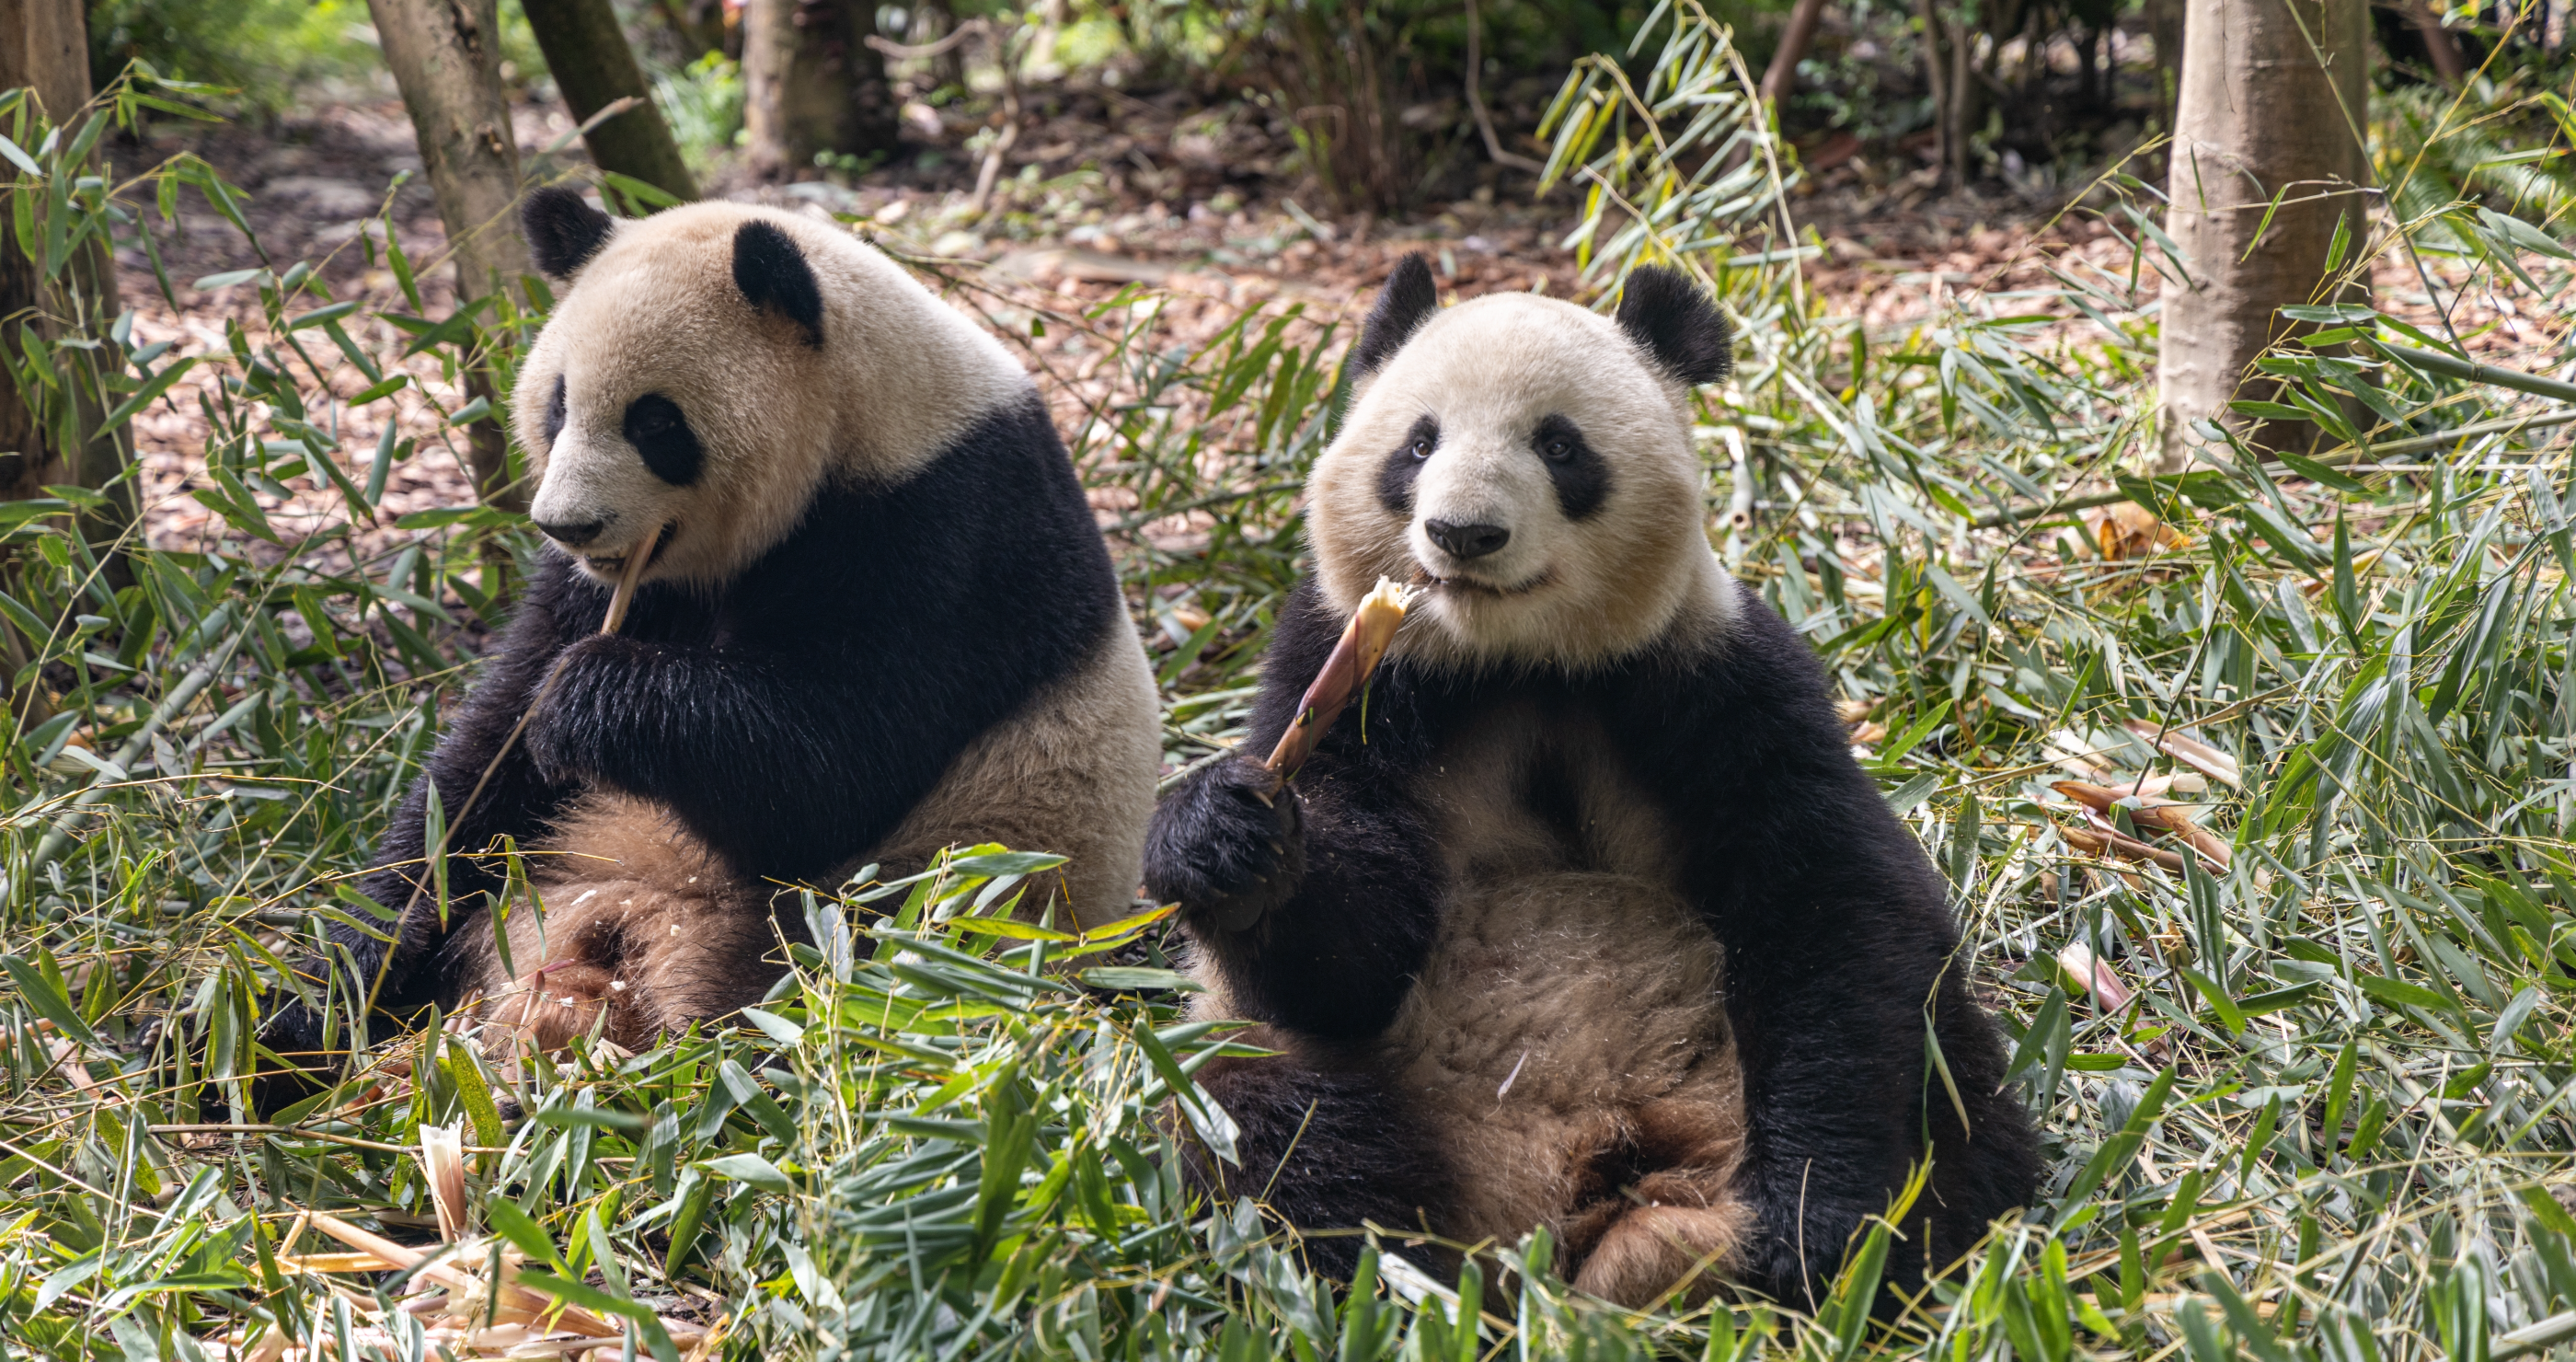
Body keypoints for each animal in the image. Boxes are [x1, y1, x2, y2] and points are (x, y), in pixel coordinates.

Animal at [258, 189, 1160, 1090]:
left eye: (655, 422)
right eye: (558, 404)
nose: (567, 524)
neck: (862, 415)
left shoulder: (944, 532)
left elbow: (834, 764)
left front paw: (585, 699)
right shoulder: (611, 586)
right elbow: (480, 774)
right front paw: (328, 982)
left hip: (900, 930)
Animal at [1143, 256, 2037, 1308]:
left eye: (1559, 445)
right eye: (1418, 443)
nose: (1463, 533)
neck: (1516, 660)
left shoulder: (1711, 677)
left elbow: (1831, 906)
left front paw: (1810, 1226)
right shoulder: (1347, 675)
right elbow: (1350, 962)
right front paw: (1222, 836)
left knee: (1949, 1094)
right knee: (1272, 1119)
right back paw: (1404, 1275)